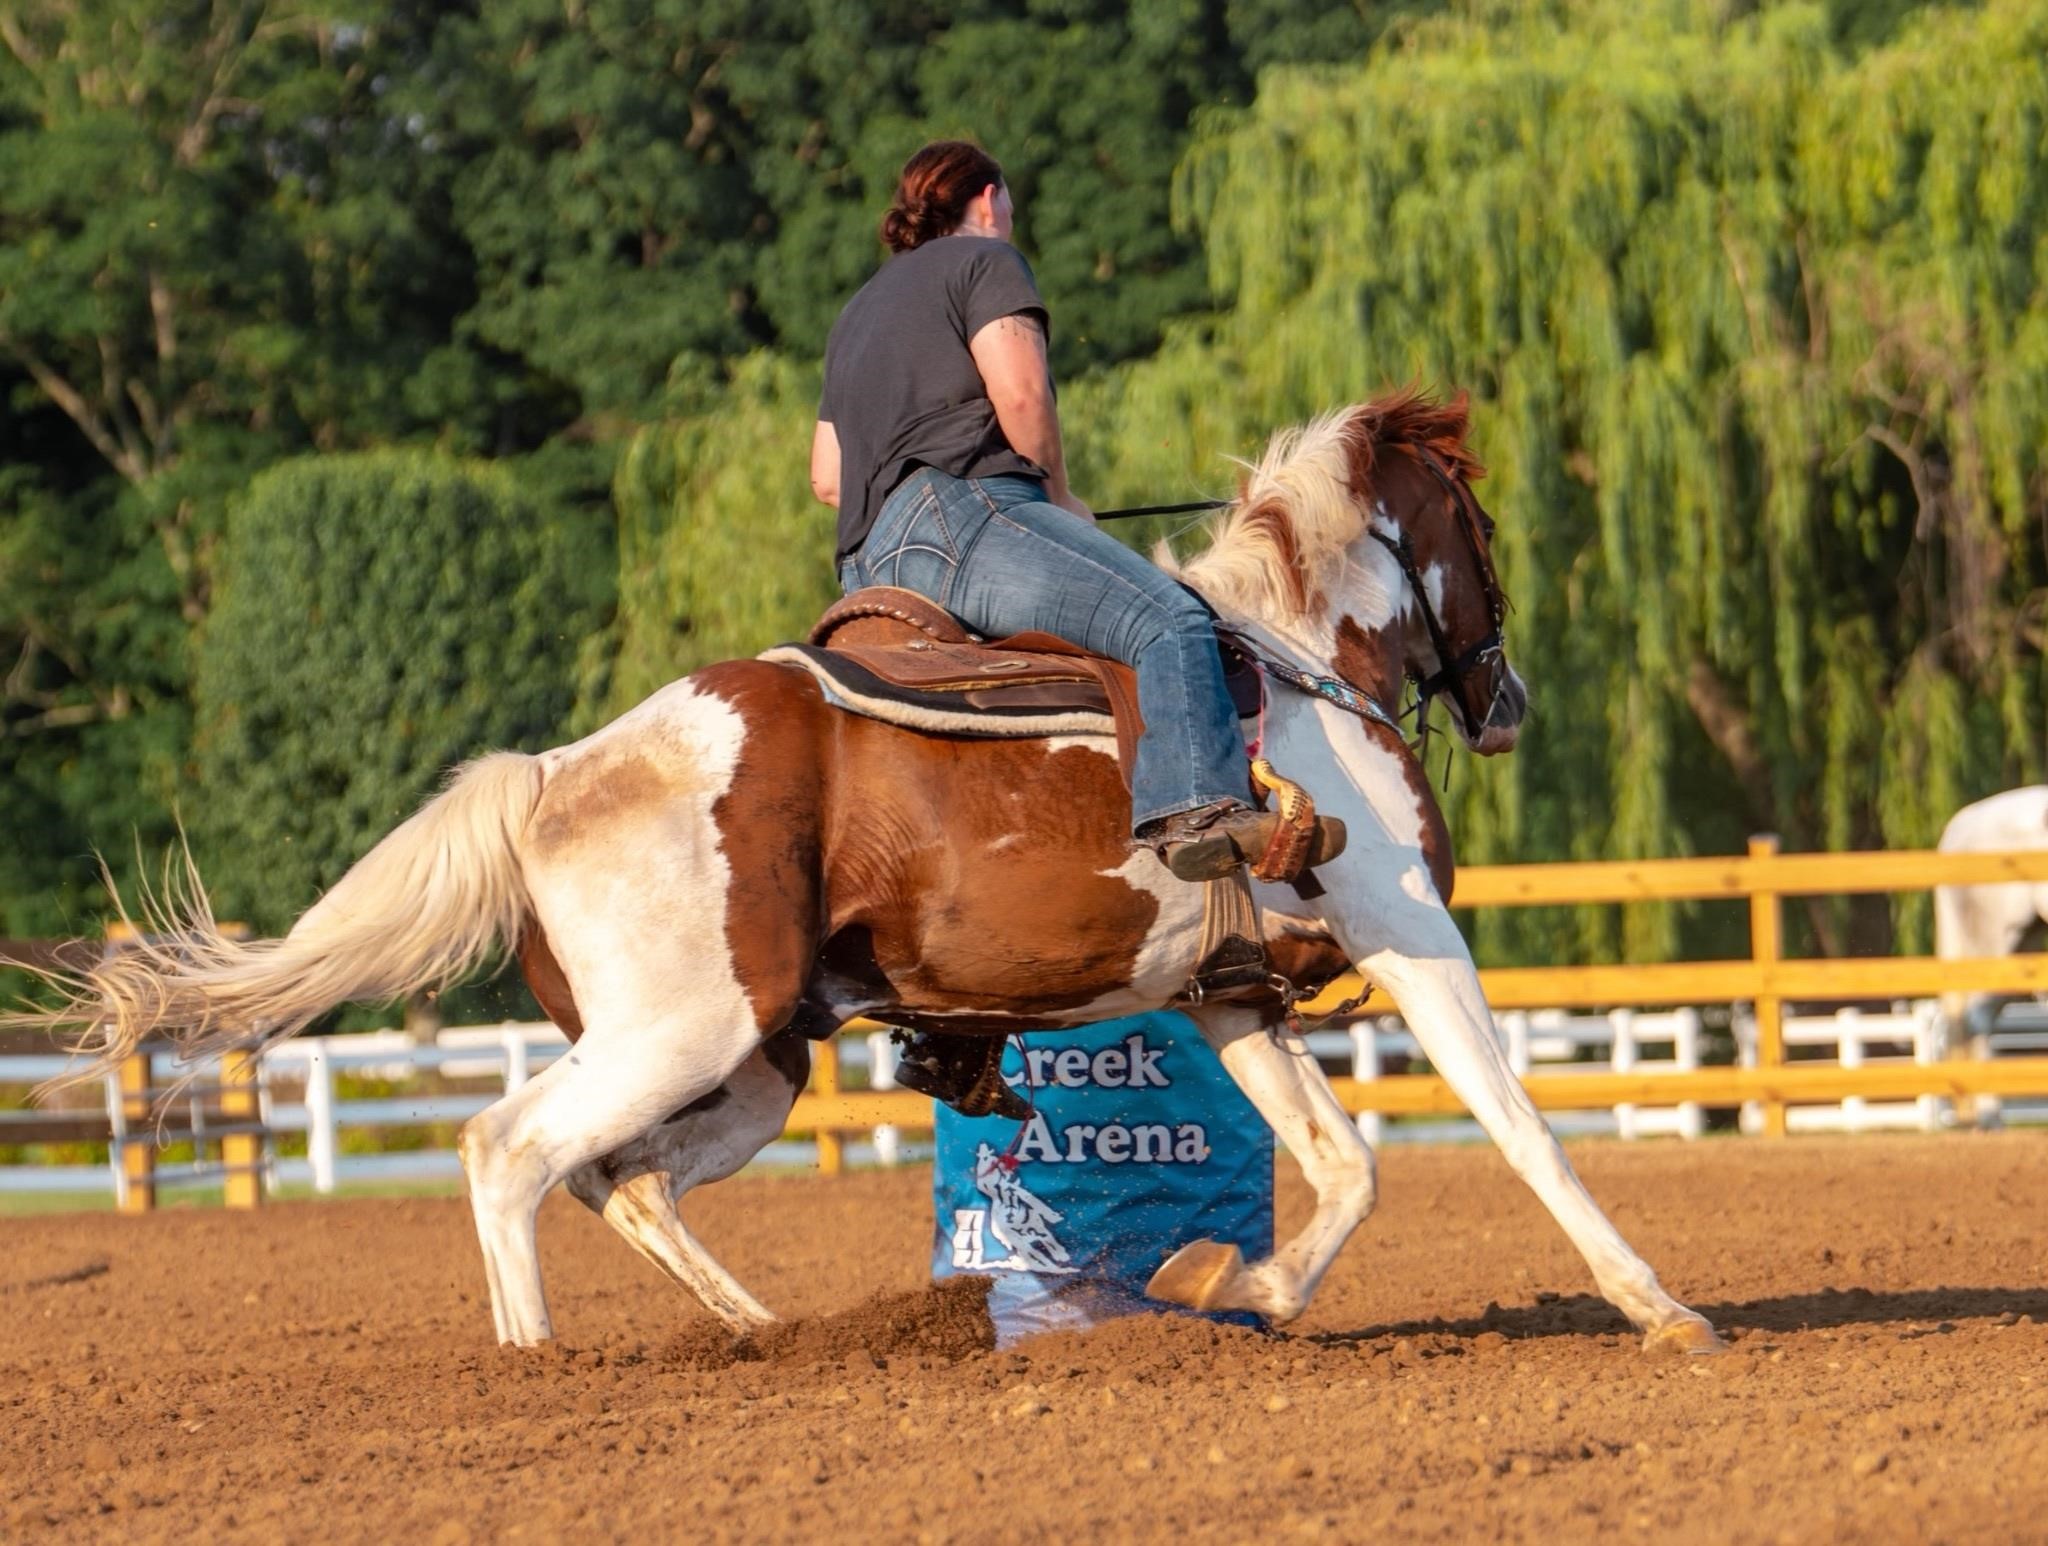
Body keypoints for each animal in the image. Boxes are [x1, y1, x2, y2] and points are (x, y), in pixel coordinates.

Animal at [36, 389, 1728, 1351]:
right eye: (1478, 520)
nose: (1508, 699)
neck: (1296, 670)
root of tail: (554, 779)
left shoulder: (1234, 998)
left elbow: (1345, 1164)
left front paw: (1228, 1290)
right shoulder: (1409, 927)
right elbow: (1522, 1129)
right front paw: (1664, 1306)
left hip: (755, 1064)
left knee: (622, 1182)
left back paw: (764, 1336)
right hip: (686, 1032)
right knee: (508, 1151)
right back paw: (536, 1372)